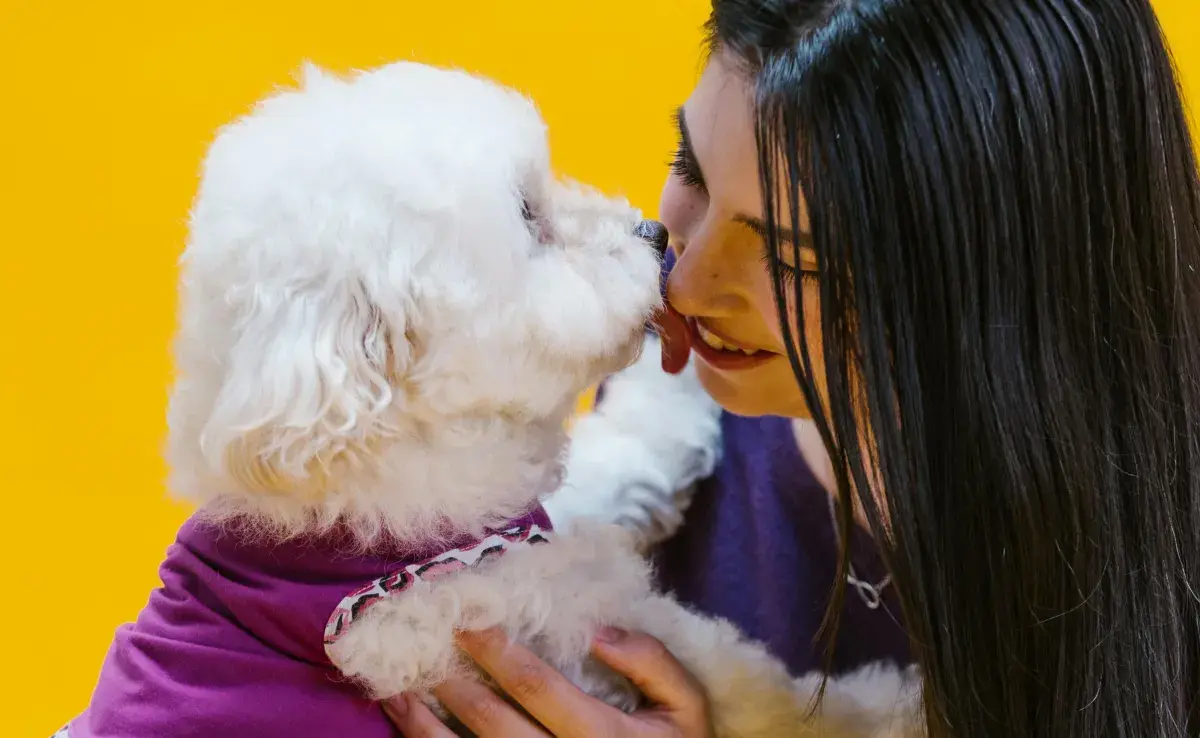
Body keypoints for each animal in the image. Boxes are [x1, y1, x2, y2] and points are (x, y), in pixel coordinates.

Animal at [60, 60, 912, 734]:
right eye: (528, 217)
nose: (655, 234)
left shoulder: (512, 526)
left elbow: (615, 466)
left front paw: (664, 392)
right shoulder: (504, 612)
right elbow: (744, 681)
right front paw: (890, 706)